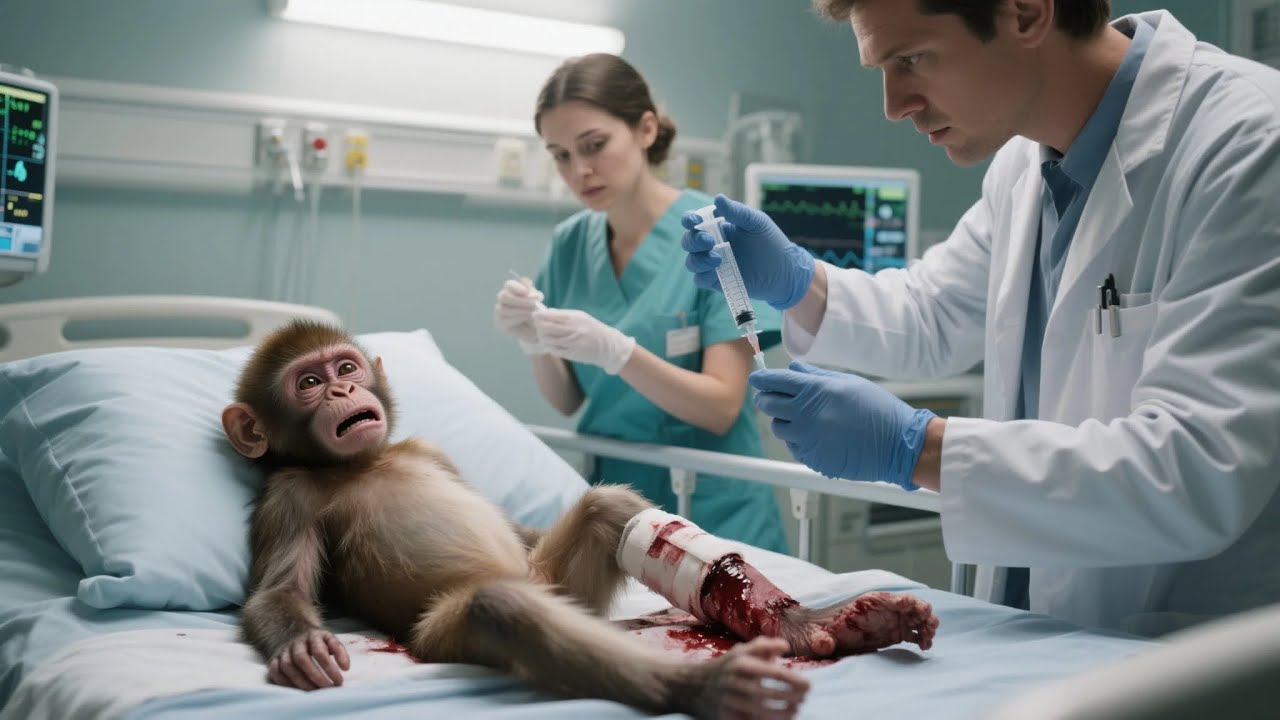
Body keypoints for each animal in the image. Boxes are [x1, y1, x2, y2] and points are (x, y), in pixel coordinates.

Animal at [221, 320, 812, 719]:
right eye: (308, 383)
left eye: (346, 368)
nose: (343, 390)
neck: (364, 461)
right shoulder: (288, 495)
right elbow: (279, 590)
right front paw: (300, 645)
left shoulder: (433, 452)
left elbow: (512, 523)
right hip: (445, 632)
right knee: (502, 608)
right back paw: (702, 686)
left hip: (556, 579)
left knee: (607, 510)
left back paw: (792, 624)